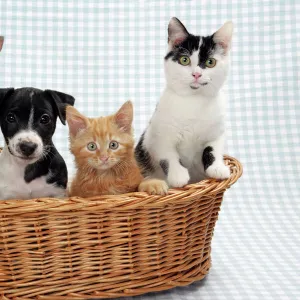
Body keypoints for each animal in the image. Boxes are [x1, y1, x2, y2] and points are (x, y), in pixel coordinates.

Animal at [135, 17, 233, 188]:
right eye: (184, 60)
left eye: (210, 62)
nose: (196, 74)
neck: (193, 101)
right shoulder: (157, 135)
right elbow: (168, 154)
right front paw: (178, 175)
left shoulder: (218, 131)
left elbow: (213, 148)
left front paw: (217, 168)